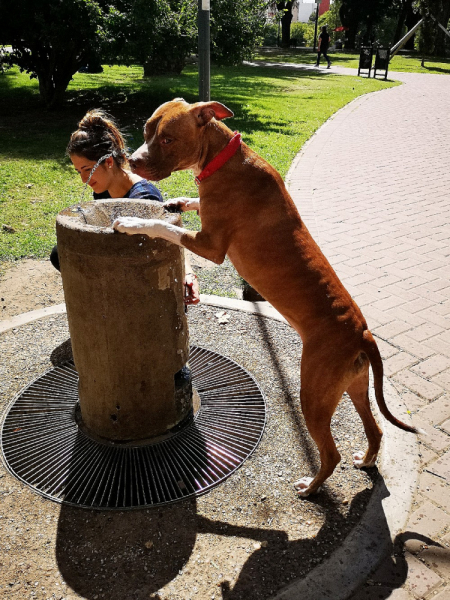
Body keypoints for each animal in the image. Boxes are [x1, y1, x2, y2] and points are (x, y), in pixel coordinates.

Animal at [111, 99, 418, 496]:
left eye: (166, 138)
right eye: (148, 130)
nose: (131, 161)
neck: (222, 159)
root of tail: (362, 332)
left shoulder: (209, 245)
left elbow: (162, 226)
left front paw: (132, 223)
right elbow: (186, 206)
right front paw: (178, 202)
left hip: (313, 397)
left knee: (331, 453)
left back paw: (311, 487)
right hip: (353, 386)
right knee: (375, 429)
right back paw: (365, 461)